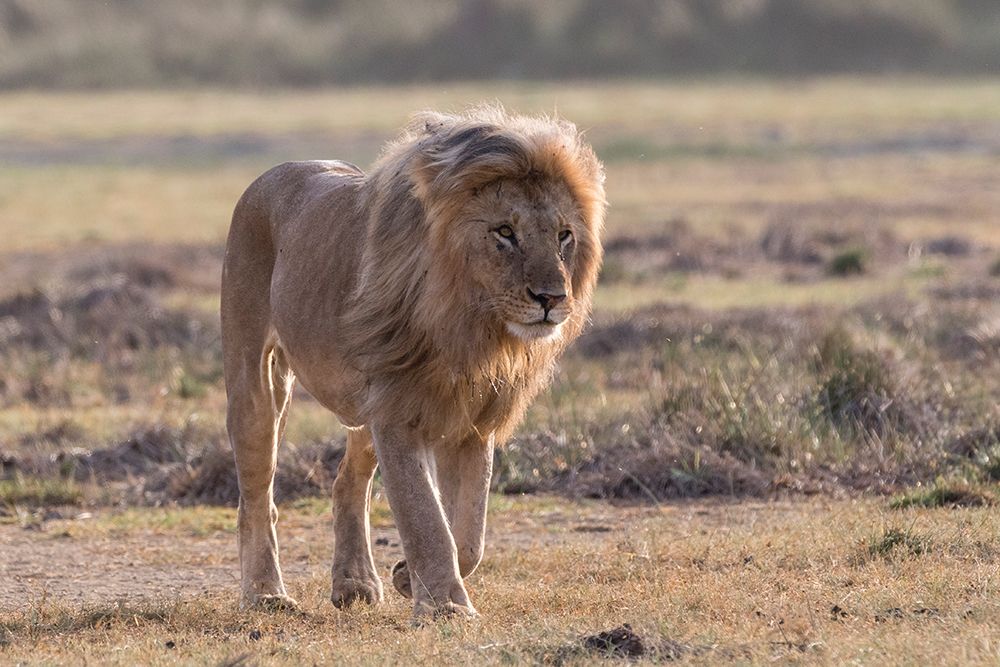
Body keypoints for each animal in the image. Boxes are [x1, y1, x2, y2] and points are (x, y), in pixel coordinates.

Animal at [221, 105, 606, 619]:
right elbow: (425, 517)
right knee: (257, 495)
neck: (470, 328)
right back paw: (266, 593)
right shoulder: (398, 409)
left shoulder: (471, 422)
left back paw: (355, 582)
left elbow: (469, 534)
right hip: (256, 380)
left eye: (564, 236)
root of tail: (275, 172)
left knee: (347, 481)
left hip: (362, 404)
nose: (552, 298)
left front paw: (408, 577)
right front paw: (446, 607)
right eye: (505, 232)